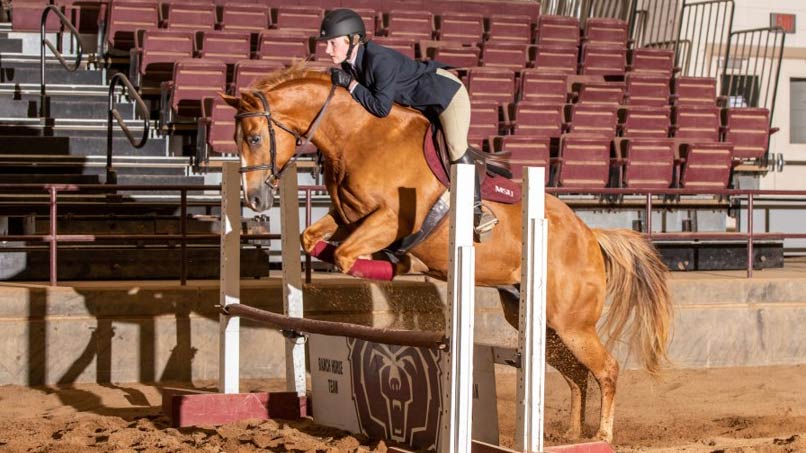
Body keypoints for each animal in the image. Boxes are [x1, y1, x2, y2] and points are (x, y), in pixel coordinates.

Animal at [223, 65, 676, 444]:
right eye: (237, 140)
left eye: (256, 138)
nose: (256, 199)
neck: (359, 136)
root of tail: (589, 235)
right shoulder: (348, 217)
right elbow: (311, 238)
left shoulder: (388, 219)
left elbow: (349, 256)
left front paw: (401, 263)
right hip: (540, 321)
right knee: (577, 374)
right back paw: (569, 433)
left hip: (572, 323)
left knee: (607, 369)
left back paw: (601, 436)